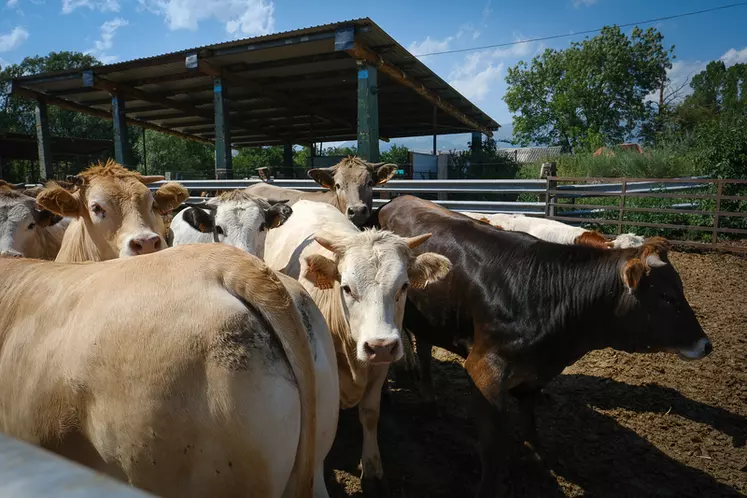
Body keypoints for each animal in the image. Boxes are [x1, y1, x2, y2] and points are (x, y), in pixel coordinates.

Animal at [262, 199, 450, 494]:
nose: (380, 345)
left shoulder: (379, 369)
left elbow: (370, 414)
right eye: (347, 288)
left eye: (404, 286)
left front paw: (373, 469)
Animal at [380, 195, 712, 498]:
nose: (706, 345)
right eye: (668, 296)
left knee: (424, 346)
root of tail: (398, 199)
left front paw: (536, 460)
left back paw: (428, 397)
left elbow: (530, 423)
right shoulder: (483, 370)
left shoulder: (534, 372)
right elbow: (492, 446)